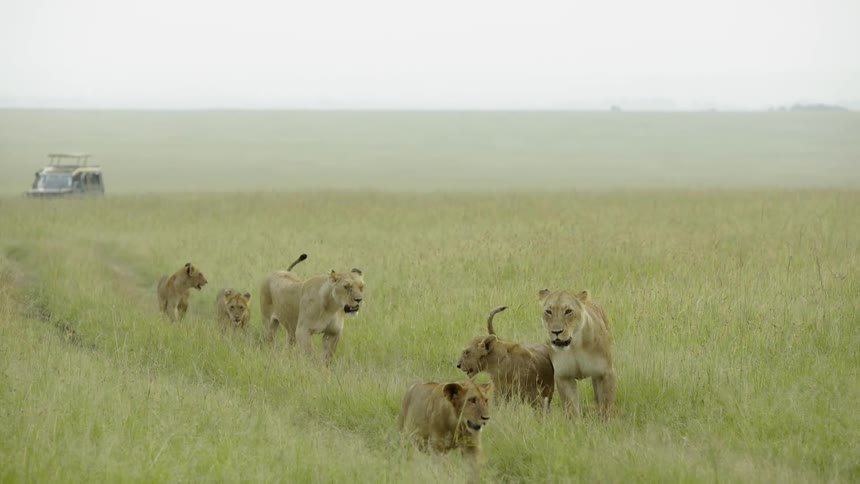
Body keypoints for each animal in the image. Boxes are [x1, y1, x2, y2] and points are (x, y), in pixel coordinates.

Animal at [539, 288, 615, 418]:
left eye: (568, 311)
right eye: (548, 311)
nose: (556, 332)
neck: (575, 345)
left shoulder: (605, 373)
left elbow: (606, 404)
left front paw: (606, 421)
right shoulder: (564, 376)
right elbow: (571, 408)